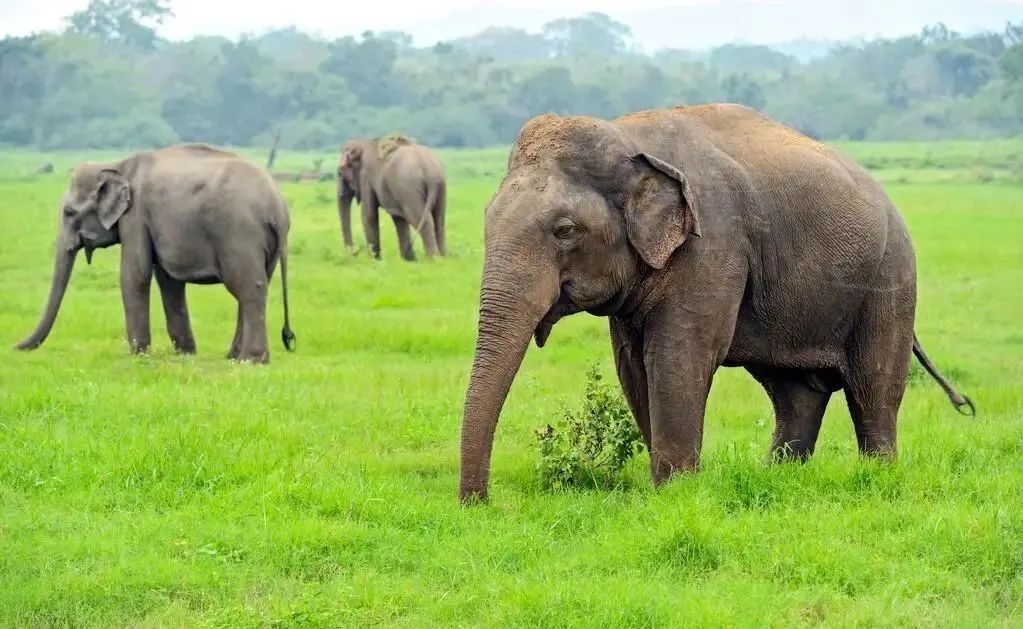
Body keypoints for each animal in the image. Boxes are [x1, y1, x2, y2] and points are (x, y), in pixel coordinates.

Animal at [14, 140, 296, 362]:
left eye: (69, 213)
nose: (14, 347)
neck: (119, 165)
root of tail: (278, 208)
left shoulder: (135, 215)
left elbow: (135, 274)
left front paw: (139, 355)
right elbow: (169, 281)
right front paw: (185, 354)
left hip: (239, 233)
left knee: (248, 287)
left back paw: (252, 360)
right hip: (265, 245)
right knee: (252, 286)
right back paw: (233, 357)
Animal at [458, 104, 973, 507]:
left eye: (565, 230)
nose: (479, 505)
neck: (629, 136)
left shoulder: (712, 245)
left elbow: (679, 356)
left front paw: (675, 493)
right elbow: (632, 366)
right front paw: (669, 488)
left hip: (889, 279)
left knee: (873, 389)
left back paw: (878, 478)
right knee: (794, 394)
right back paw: (780, 477)